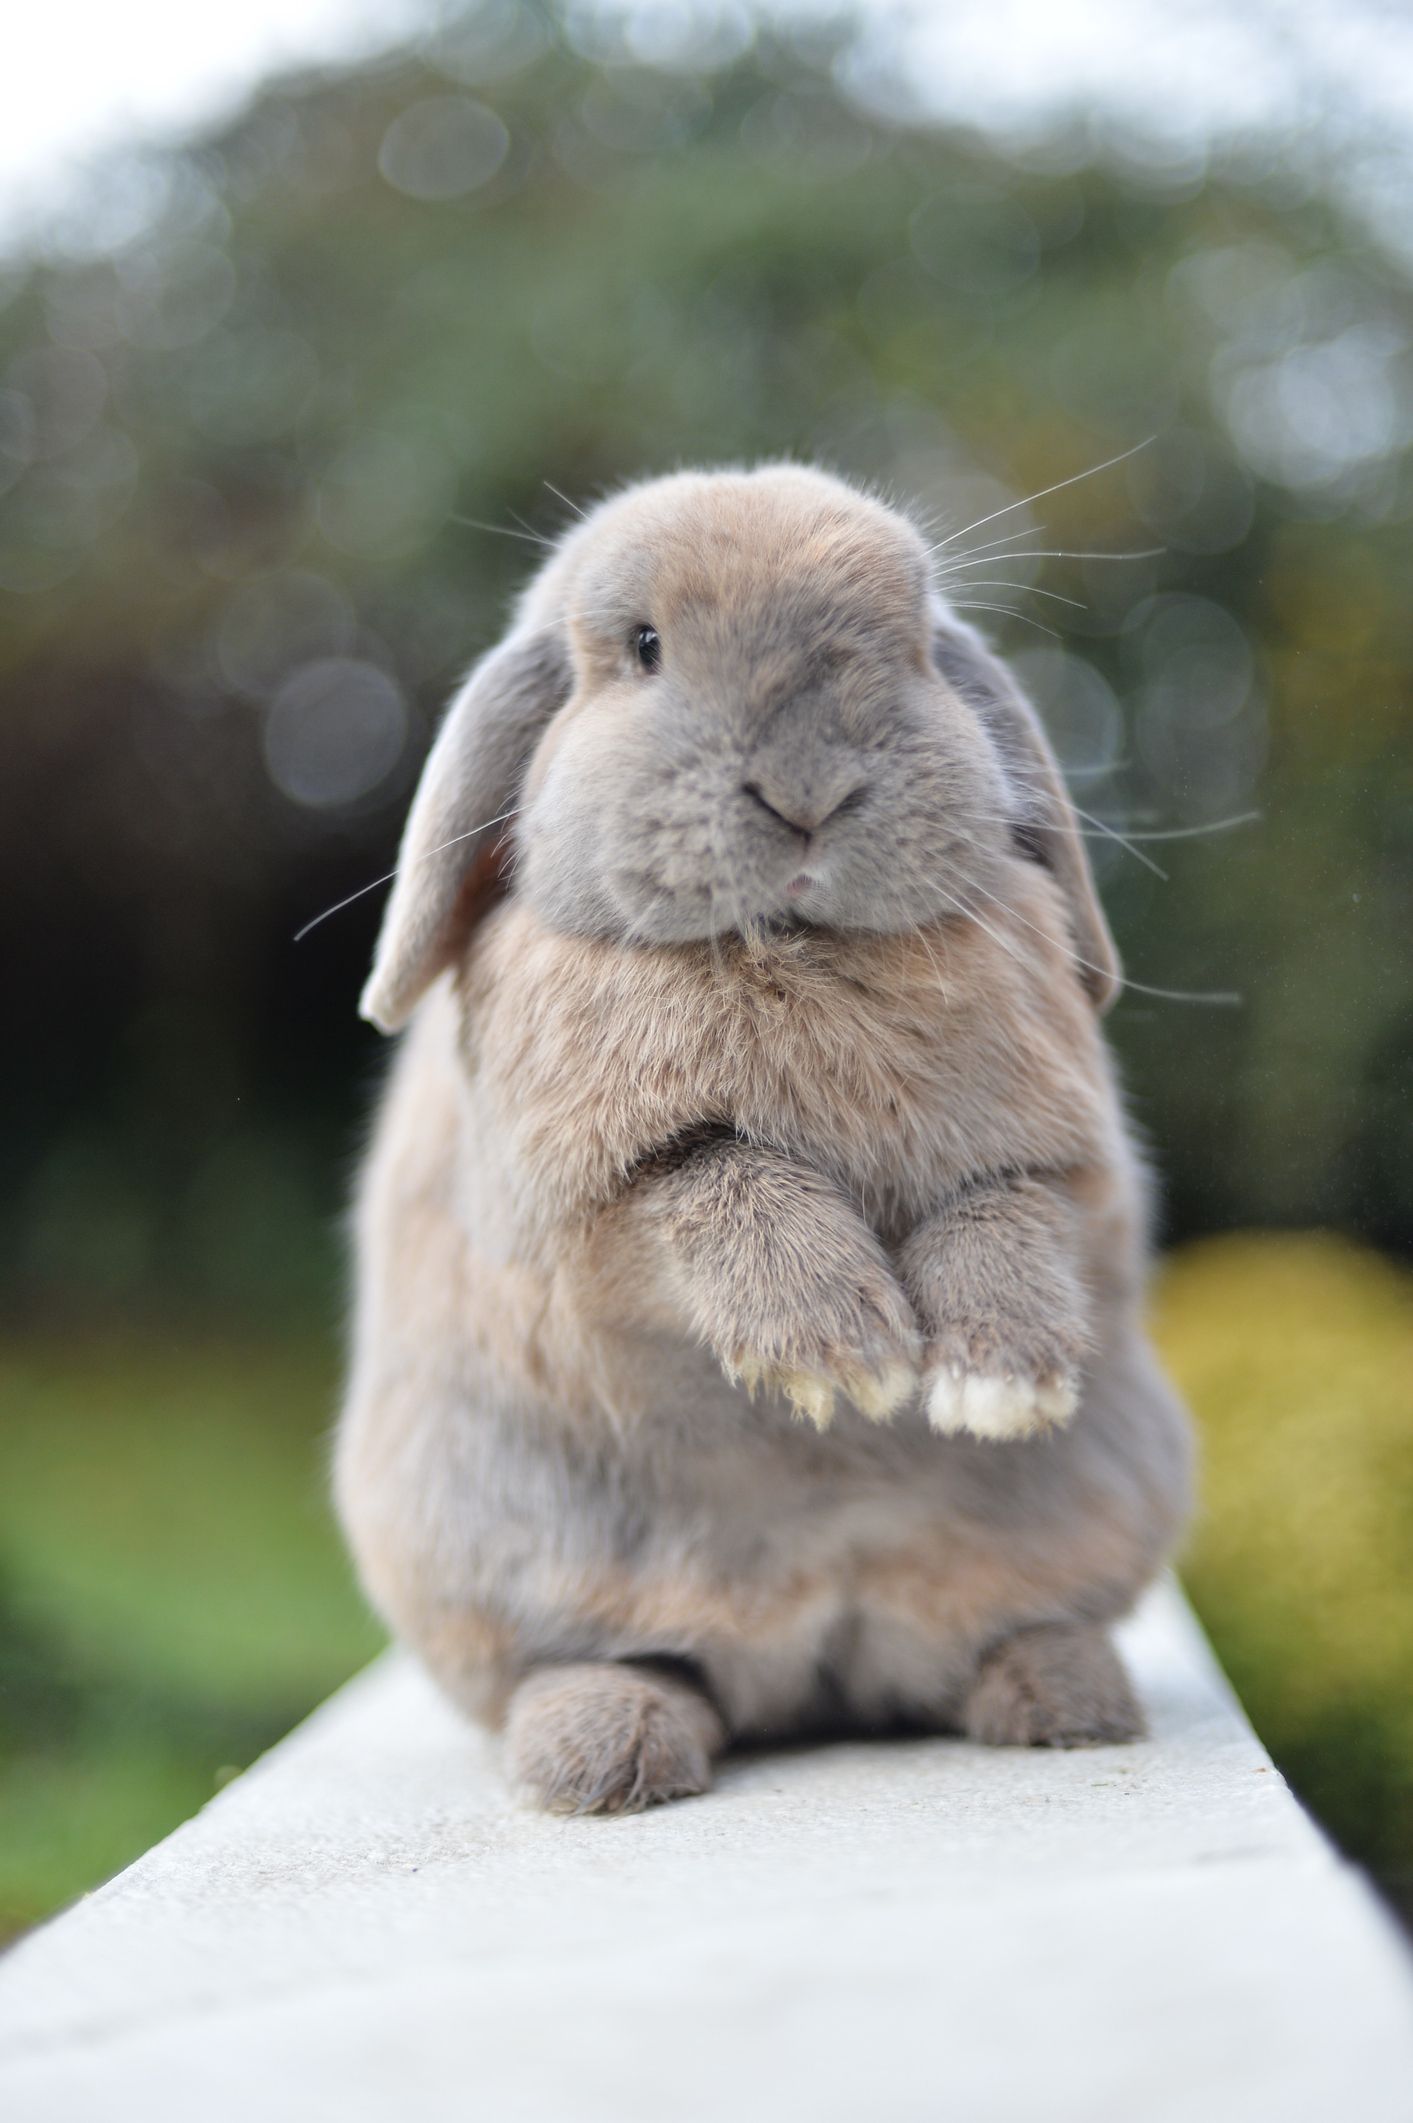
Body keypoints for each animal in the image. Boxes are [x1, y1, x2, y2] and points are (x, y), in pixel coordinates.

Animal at [333, 460, 1188, 1808]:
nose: (809, 795)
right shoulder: (585, 1209)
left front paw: (996, 1383)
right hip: (505, 1554)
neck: (795, 947)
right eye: (642, 646)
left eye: (914, 640)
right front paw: (843, 1362)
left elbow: (1000, 1216)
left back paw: (1066, 1694)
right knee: (627, 1665)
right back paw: (603, 1749)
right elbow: (720, 1178)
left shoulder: (1055, 1162)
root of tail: (811, 1661)